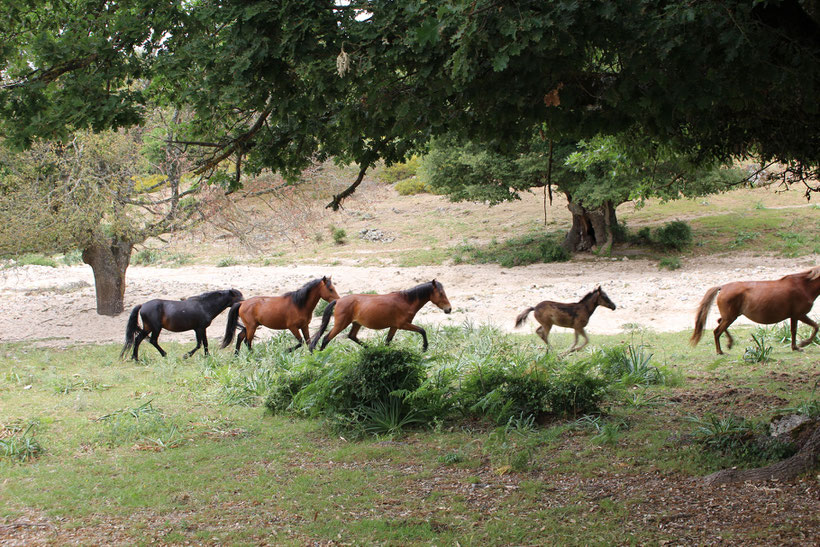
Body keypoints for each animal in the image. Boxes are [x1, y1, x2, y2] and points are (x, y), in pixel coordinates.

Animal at [308, 280, 452, 354]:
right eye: (440, 293)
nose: (449, 309)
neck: (406, 301)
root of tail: (338, 301)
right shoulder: (403, 325)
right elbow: (422, 330)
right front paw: (424, 348)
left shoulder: (394, 327)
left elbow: (387, 342)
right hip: (341, 324)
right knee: (326, 338)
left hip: (356, 323)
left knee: (352, 336)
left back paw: (371, 349)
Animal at [692, 266, 820, 356]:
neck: (804, 286)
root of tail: (722, 287)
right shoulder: (800, 314)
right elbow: (816, 326)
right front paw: (804, 343)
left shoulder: (794, 315)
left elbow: (793, 331)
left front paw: (796, 347)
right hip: (730, 317)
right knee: (717, 331)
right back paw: (720, 351)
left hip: (730, 316)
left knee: (719, 322)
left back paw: (729, 343)